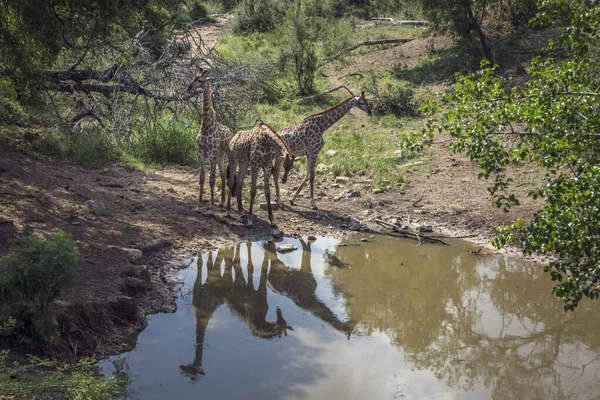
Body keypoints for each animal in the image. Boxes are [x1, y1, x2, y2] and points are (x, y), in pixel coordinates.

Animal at [192, 70, 232, 217]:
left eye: (200, 80)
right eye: (194, 78)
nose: (189, 87)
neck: (206, 126)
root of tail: (230, 131)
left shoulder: (211, 155)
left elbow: (212, 180)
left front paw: (211, 209)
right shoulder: (201, 154)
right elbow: (202, 179)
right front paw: (198, 206)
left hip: (224, 154)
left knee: (228, 176)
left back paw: (225, 206)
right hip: (220, 155)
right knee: (223, 174)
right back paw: (221, 202)